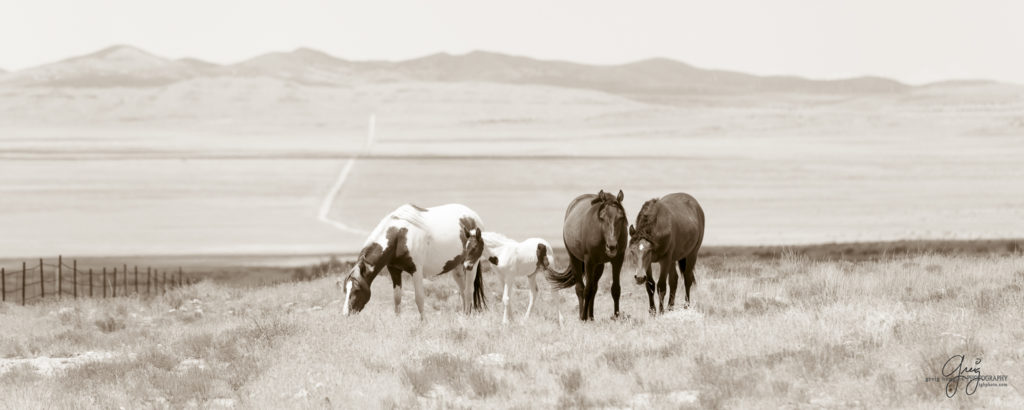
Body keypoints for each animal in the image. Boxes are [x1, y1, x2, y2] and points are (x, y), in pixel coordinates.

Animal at [339, 202, 491, 317]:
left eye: (357, 289)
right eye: (345, 290)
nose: (346, 314)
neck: (400, 236)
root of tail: (472, 216)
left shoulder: (416, 271)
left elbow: (419, 299)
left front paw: (423, 324)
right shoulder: (394, 270)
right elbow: (397, 299)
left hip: (471, 265)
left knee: (469, 291)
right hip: (458, 267)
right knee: (463, 290)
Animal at [548, 188, 626, 319]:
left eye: (620, 217)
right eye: (602, 217)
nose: (611, 247)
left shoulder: (618, 260)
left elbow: (615, 289)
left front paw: (616, 316)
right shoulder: (589, 261)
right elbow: (587, 290)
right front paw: (583, 318)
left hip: (599, 266)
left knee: (594, 288)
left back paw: (591, 317)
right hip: (576, 260)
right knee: (580, 288)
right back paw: (582, 316)